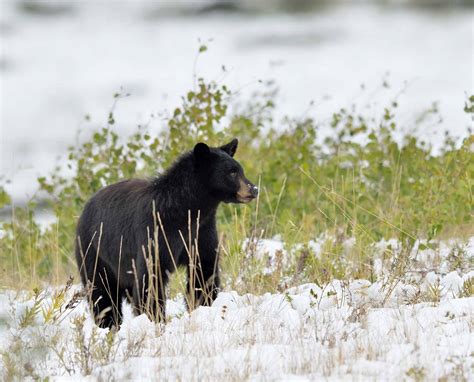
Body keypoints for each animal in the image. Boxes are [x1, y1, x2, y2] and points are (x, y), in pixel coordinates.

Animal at [75, 140, 258, 328]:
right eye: (232, 172)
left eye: (240, 170)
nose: (253, 189)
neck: (186, 210)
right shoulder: (156, 231)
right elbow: (151, 277)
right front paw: (155, 320)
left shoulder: (202, 231)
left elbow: (203, 270)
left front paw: (204, 305)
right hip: (95, 251)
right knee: (102, 293)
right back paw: (108, 324)